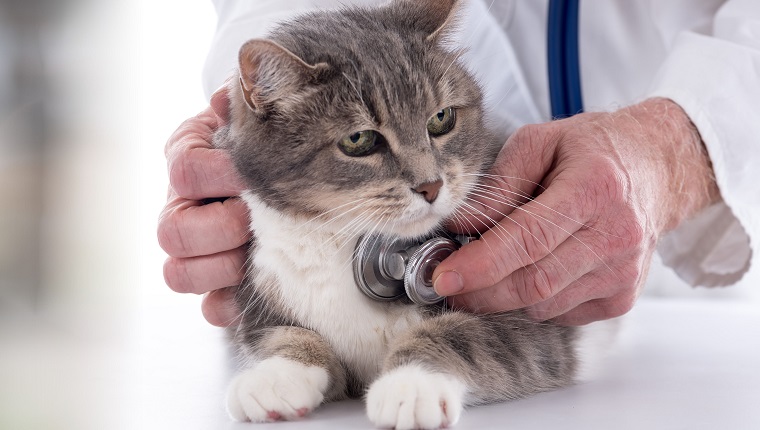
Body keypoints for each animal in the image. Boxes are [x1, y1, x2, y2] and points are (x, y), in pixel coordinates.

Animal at [215, 1, 588, 428]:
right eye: (358, 140)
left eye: (442, 118)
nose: (431, 185)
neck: (343, 242)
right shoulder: (264, 282)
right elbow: (278, 334)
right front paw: (277, 374)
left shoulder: (532, 314)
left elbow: (463, 335)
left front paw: (410, 384)